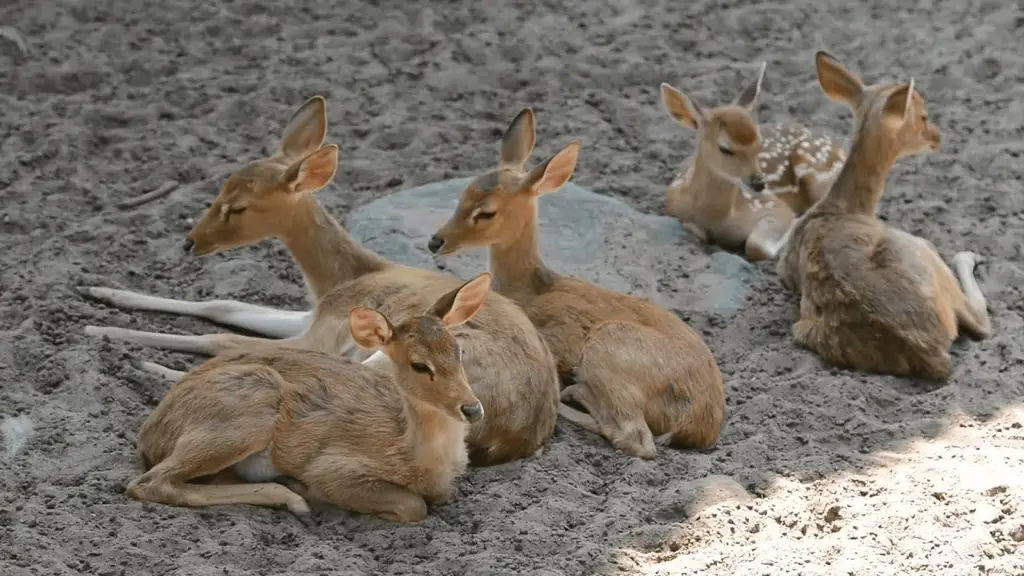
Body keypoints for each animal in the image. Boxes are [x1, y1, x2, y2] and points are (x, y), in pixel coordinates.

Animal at [79, 94, 561, 463]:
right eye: (221, 187)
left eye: (239, 206)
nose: (190, 241)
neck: (346, 276)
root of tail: (508, 434)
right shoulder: (311, 315)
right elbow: (224, 304)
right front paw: (98, 292)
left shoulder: (324, 333)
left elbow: (222, 339)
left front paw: (104, 333)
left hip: (381, 360)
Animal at [125, 272, 493, 520]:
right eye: (418, 364)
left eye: (458, 350)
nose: (472, 408)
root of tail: (151, 433)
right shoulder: (334, 468)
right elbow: (413, 505)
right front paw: (308, 490)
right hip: (245, 416)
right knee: (149, 482)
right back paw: (294, 497)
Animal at [428, 106, 724, 457]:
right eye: (463, 193)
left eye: (487, 212)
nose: (435, 241)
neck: (527, 289)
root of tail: (700, 423)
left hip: (610, 346)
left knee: (636, 437)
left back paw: (575, 395)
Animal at [774, 51, 991, 379]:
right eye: (923, 116)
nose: (938, 136)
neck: (846, 207)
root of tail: (930, 351)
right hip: (919, 250)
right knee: (979, 321)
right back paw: (968, 255)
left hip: (800, 327)